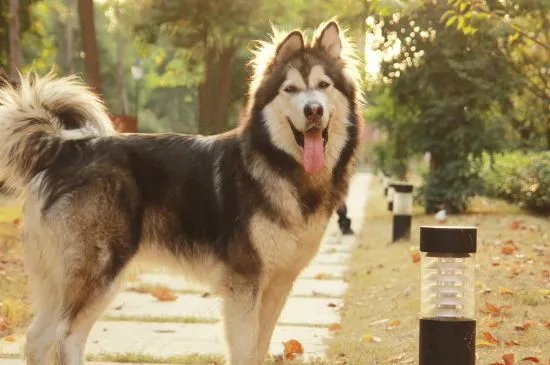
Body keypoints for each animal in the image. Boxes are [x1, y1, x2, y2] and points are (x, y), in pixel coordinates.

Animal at [0, 20, 362, 364]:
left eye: (324, 86)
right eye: (291, 89)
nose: (313, 110)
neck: (281, 165)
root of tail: (66, 148)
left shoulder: (278, 284)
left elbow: (260, 347)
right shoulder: (244, 283)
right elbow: (245, 350)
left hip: (60, 279)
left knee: (38, 337)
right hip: (100, 271)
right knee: (66, 337)